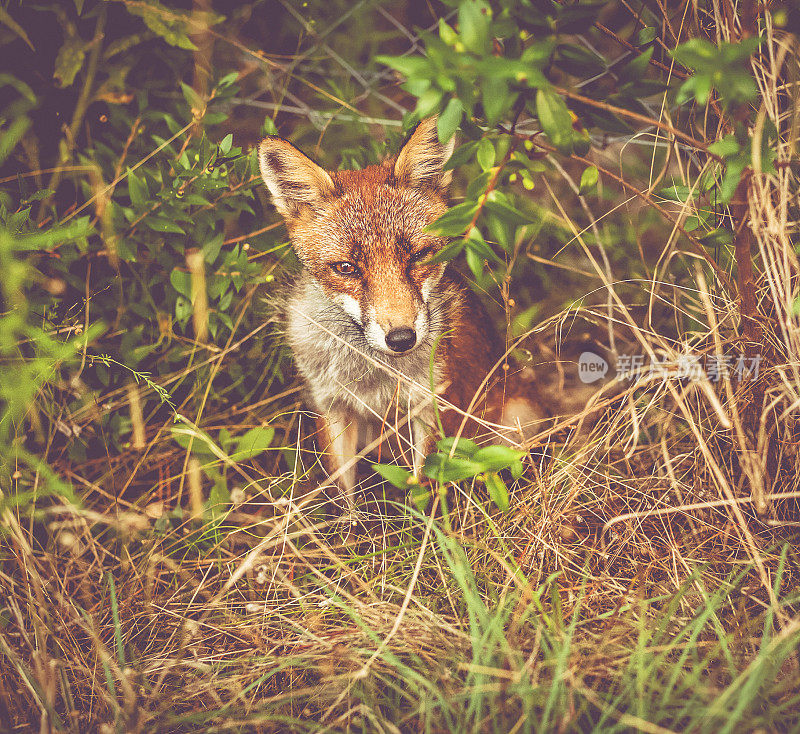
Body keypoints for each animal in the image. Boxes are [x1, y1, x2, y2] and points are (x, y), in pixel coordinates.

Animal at [260, 118, 540, 516]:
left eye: (419, 255)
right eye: (346, 268)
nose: (402, 338)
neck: (374, 379)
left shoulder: (436, 405)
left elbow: (427, 494)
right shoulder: (331, 407)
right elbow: (343, 498)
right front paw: (351, 530)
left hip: (517, 420)